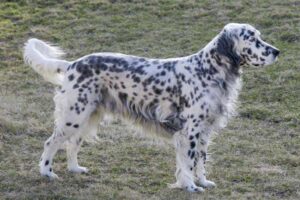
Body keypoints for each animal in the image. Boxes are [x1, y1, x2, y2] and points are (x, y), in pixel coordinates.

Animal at [22, 23, 278, 192]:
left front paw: (203, 182)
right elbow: (188, 163)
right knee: (51, 143)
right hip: (74, 115)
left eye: (260, 36)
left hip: (88, 116)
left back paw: (75, 169)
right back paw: (47, 172)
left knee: (72, 144)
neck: (208, 70)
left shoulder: (205, 130)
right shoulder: (190, 131)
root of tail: (72, 64)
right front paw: (190, 187)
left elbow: (201, 161)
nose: (277, 51)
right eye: (252, 38)